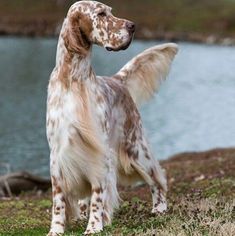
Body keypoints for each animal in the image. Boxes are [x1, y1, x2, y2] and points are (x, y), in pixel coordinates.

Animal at [46, 0, 178, 234]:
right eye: (100, 14)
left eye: (110, 11)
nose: (132, 26)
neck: (74, 81)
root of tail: (118, 80)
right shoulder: (58, 154)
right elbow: (58, 199)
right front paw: (57, 229)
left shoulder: (100, 151)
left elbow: (99, 193)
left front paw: (94, 226)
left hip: (136, 148)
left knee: (157, 178)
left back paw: (159, 207)